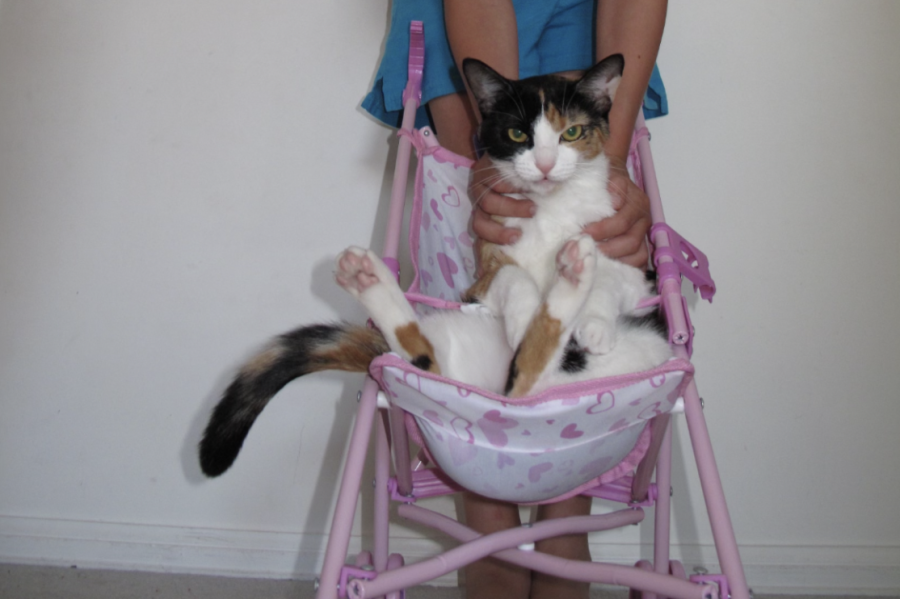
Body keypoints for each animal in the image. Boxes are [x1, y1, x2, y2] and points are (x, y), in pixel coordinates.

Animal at [200, 56, 672, 478]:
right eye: (518, 133)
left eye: (571, 132)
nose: (543, 165)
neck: (551, 211)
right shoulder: (486, 272)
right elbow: (514, 278)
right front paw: (524, 314)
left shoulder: (634, 266)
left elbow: (610, 277)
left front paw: (595, 324)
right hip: (473, 369)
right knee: (484, 368)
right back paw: (370, 278)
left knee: (519, 372)